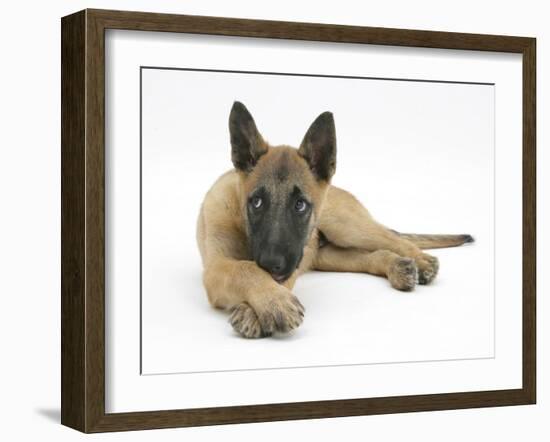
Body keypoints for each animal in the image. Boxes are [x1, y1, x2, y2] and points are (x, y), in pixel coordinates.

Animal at [195, 102, 474, 338]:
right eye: (256, 202)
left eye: (300, 205)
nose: (272, 264)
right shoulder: (216, 267)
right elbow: (245, 268)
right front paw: (270, 301)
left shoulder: (290, 265)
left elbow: (251, 270)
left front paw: (262, 307)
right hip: (328, 255)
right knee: (371, 256)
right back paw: (397, 267)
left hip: (346, 227)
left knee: (393, 239)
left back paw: (422, 261)